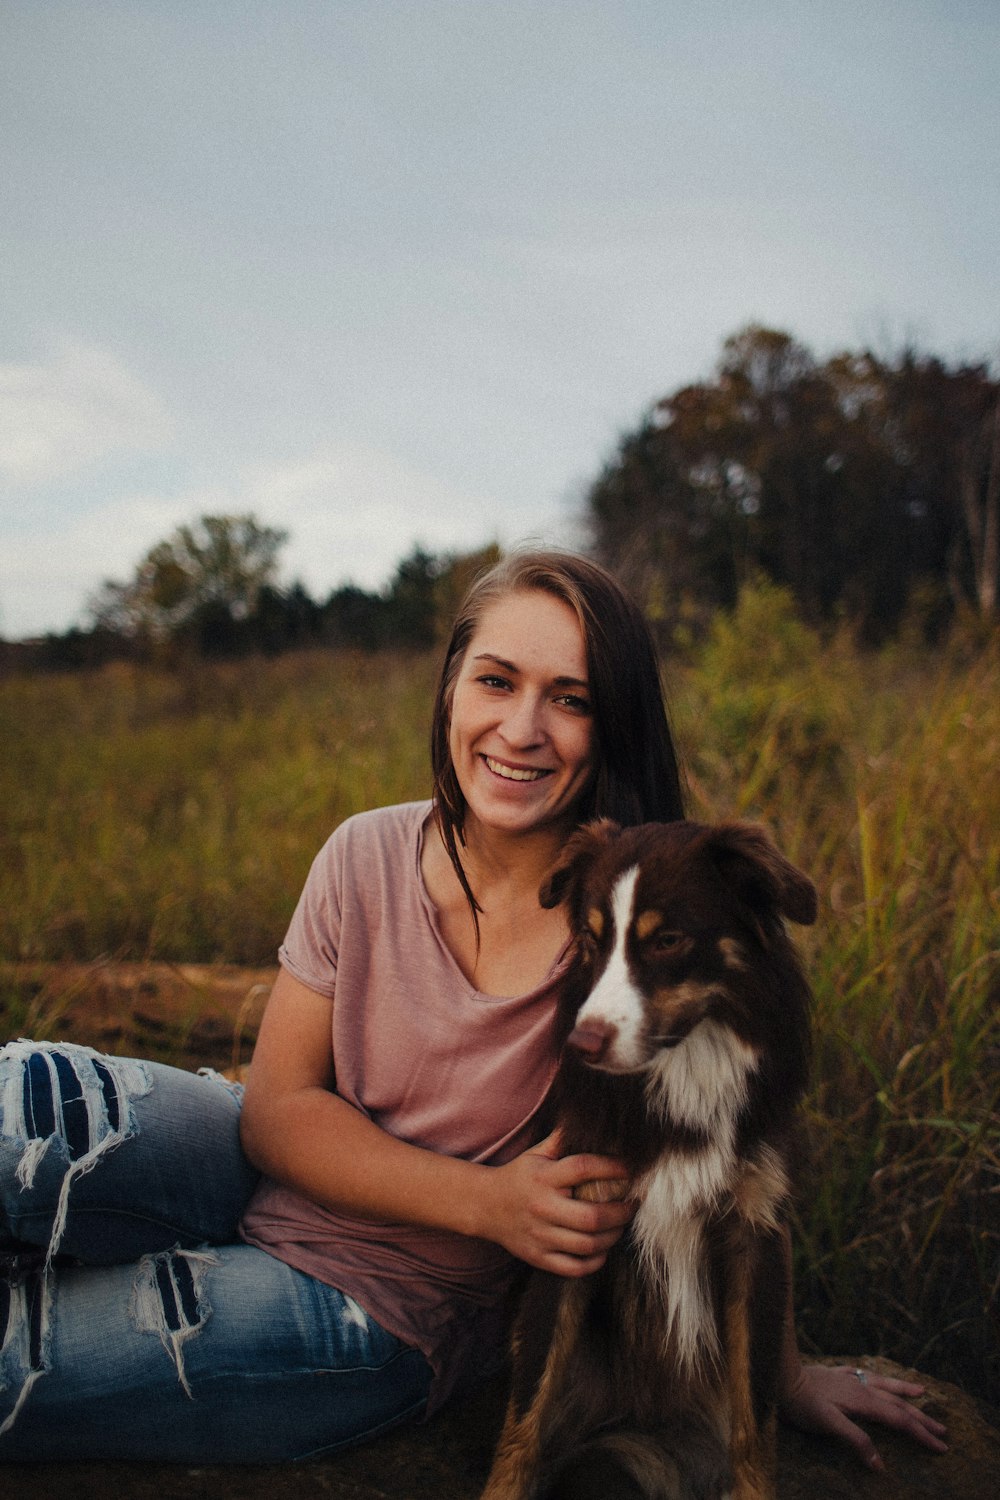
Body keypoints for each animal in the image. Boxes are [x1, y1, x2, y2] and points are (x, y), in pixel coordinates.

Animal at [479, 822, 815, 1500]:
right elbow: (527, 1408)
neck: (684, 1073)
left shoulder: (753, 1231)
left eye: (666, 940)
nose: (582, 1044)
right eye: (591, 940)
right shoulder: (570, 1224)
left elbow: (755, 1417)